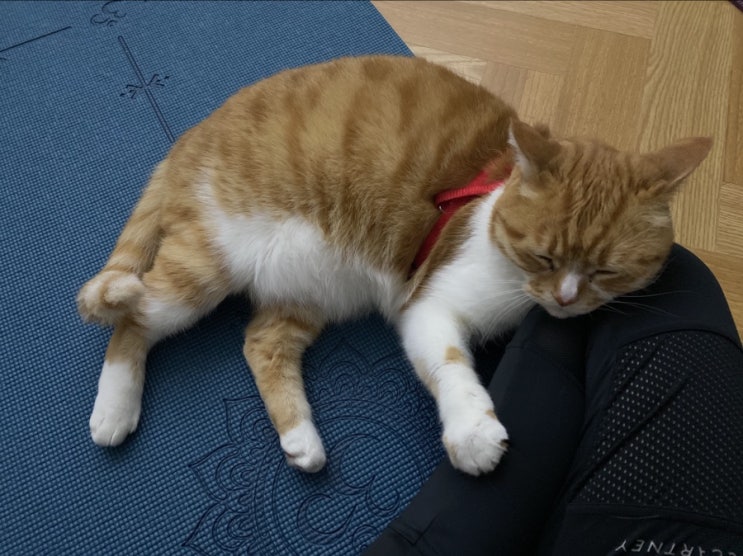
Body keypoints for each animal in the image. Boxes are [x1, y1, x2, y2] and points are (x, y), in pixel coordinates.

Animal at [77, 55, 711, 476]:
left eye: (606, 272)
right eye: (543, 256)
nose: (565, 300)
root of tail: (187, 138)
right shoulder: (430, 305)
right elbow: (451, 366)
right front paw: (473, 434)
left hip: (310, 292)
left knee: (262, 343)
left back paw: (303, 439)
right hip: (202, 268)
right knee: (134, 318)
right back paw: (114, 411)